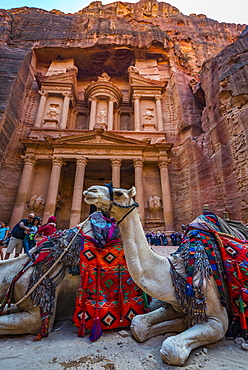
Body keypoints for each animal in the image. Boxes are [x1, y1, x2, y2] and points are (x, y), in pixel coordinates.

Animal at [83, 185, 246, 368]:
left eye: (119, 193)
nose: (91, 190)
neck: (177, 271)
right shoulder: (175, 304)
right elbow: (138, 325)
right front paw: (181, 323)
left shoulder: (218, 319)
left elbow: (171, 348)